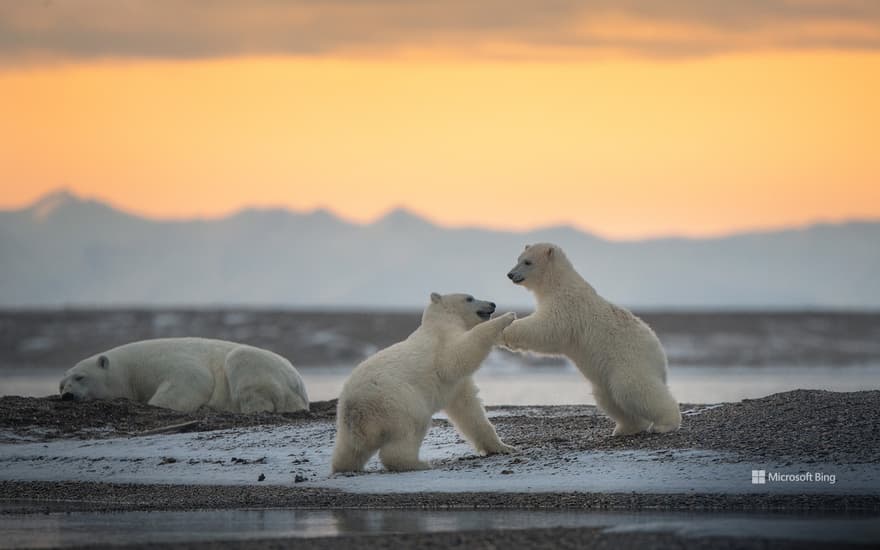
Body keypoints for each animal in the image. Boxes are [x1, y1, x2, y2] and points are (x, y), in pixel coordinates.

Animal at [58, 338, 310, 416]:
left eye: (80, 377)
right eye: (61, 384)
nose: (67, 395)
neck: (131, 370)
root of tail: (299, 383)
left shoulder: (168, 362)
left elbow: (193, 379)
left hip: (261, 368)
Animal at [336, 294, 516, 474]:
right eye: (469, 298)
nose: (492, 304)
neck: (439, 320)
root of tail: (355, 407)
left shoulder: (456, 387)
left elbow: (469, 408)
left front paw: (504, 447)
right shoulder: (442, 341)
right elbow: (455, 356)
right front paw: (508, 317)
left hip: (347, 422)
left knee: (350, 450)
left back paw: (344, 466)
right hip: (397, 401)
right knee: (410, 429)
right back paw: (417, 463)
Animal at [502, 244, 680, 438]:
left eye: (527, 262)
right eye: (518, 259)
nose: (510, 274)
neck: (558, 282)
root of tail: (660, 355)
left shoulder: (566, 305)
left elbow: (545, 327)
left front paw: (506, 330)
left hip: (630, 360)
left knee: (632, 388)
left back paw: (665, 424)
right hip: (608, 375)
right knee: (608, 396)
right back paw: (625, 428)